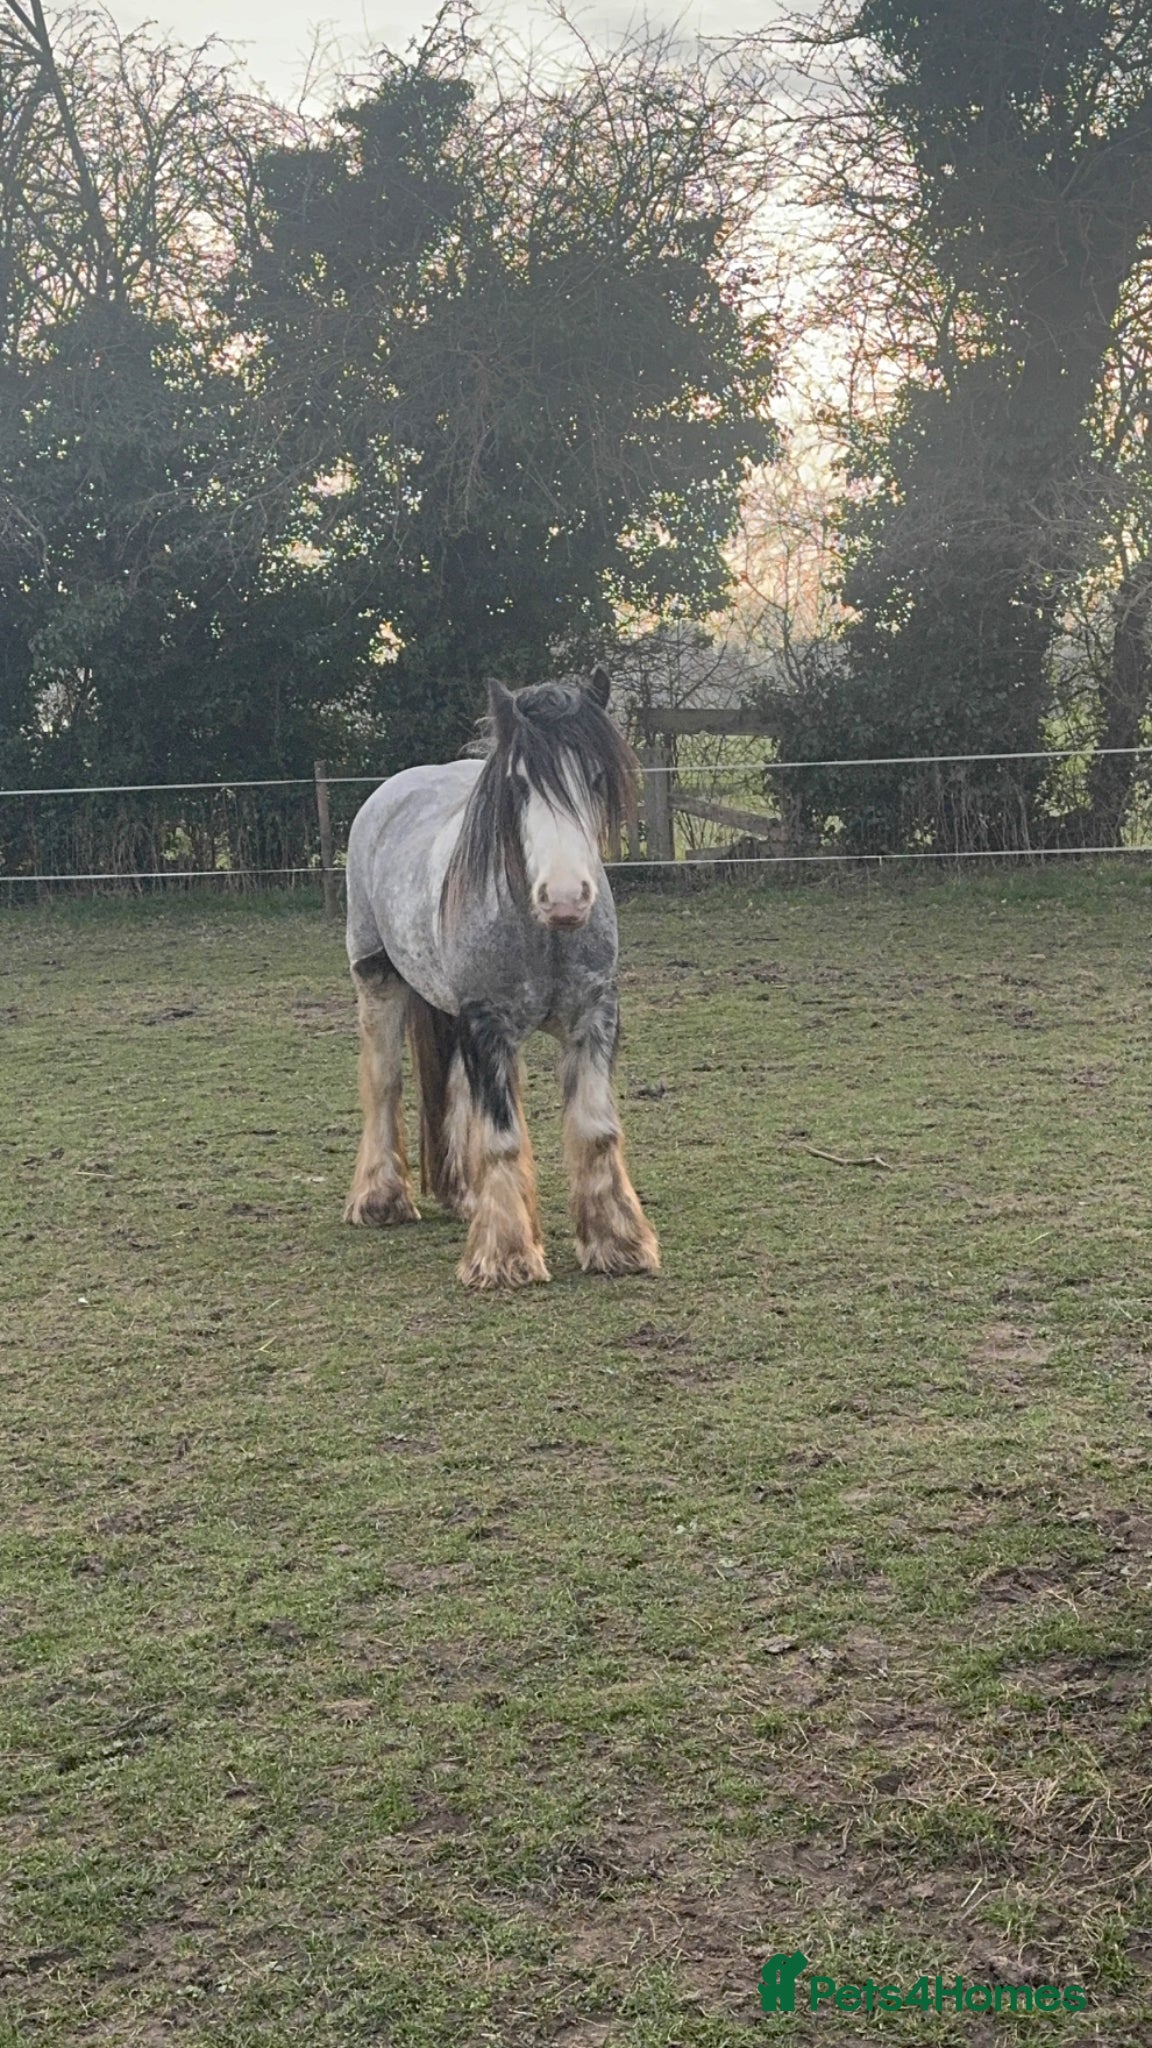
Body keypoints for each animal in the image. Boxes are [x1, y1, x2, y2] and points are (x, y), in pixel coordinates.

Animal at [342, 666, 661, 1289]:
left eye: (594, 776)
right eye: (518, 784)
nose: (565, 898)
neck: (544, 934)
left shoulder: (594, 1015)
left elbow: (596, 1128)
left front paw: (618, 1243)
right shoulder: (487, 1021)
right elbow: (503, 1134)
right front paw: (506, 1256)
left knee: (456, 1089)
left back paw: (466, 1196)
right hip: (378, 979)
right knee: (384, 1081)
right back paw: (380, 1199)